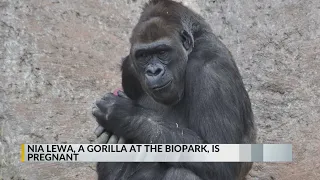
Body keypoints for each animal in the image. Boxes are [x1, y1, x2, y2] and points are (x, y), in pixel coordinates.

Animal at [91, 0, 256, 180]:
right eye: (143, 56)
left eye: (162, 52)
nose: (153, 71)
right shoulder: (129, 66)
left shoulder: (212, 69)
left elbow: (222, 158)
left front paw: (125, 115)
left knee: (182, 173)